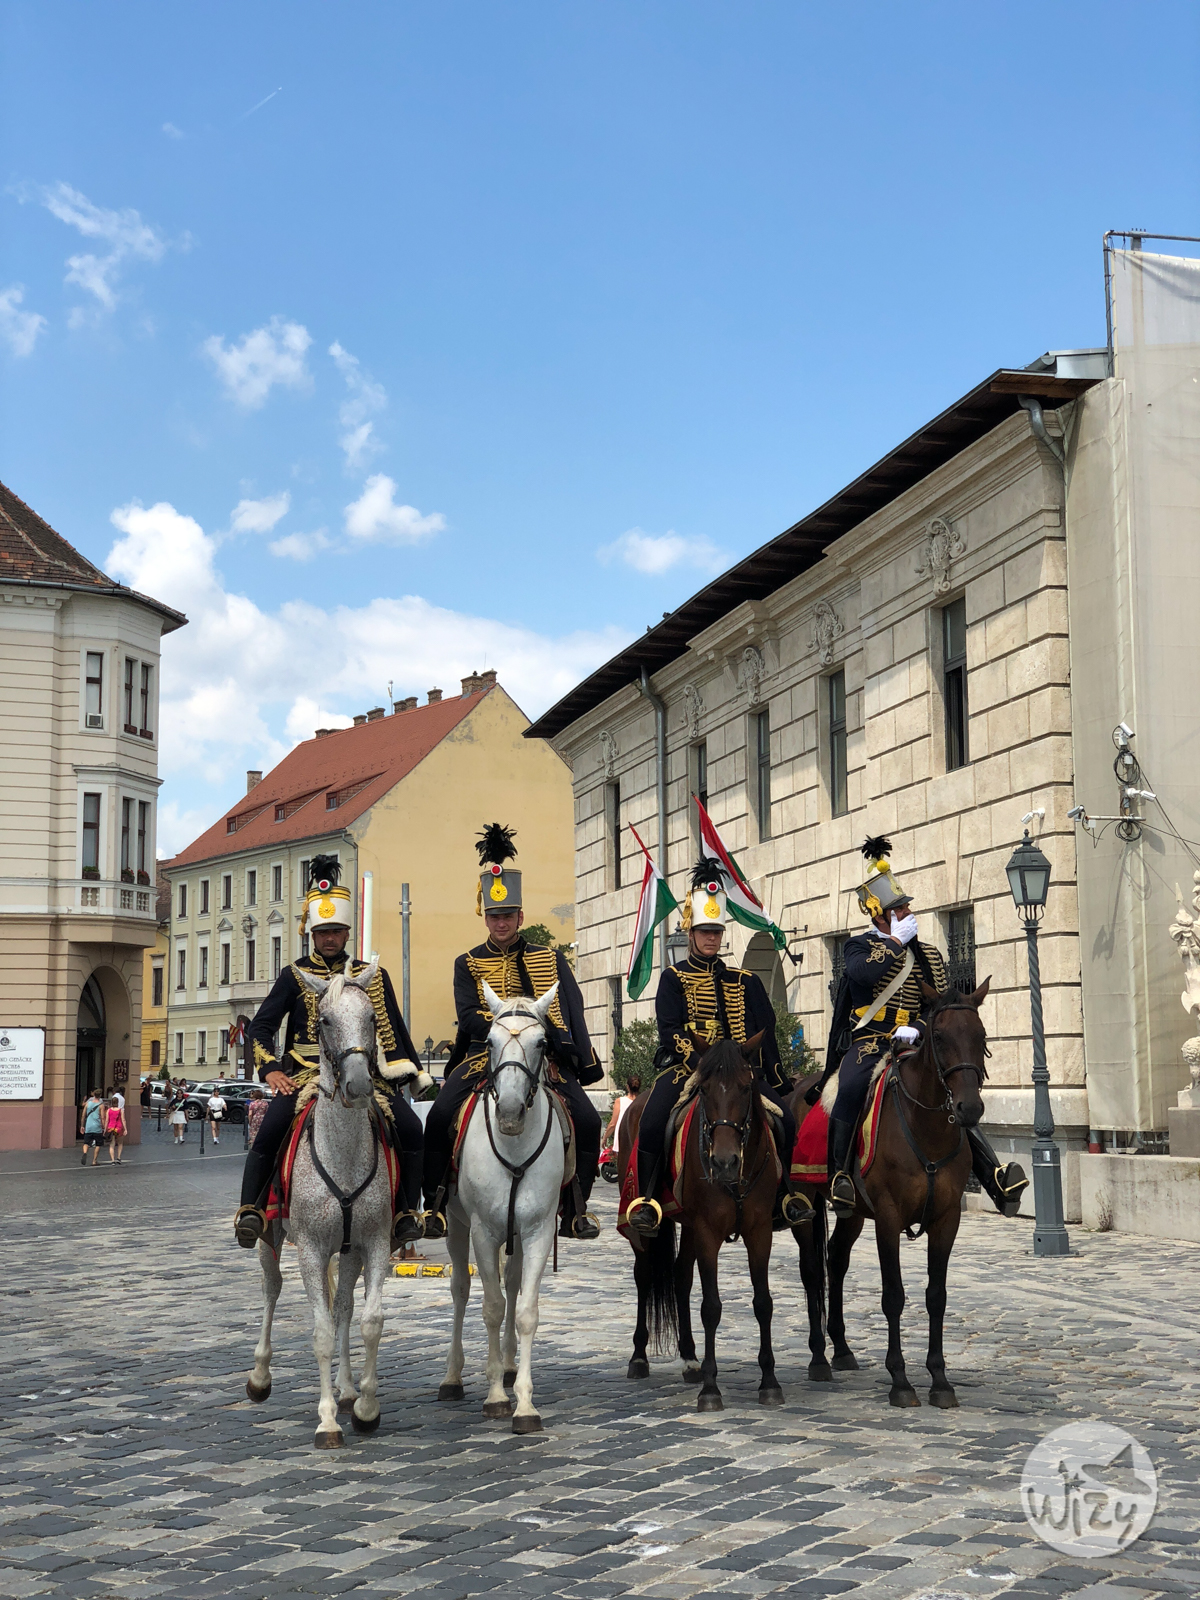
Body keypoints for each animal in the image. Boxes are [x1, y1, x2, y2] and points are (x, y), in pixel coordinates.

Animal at [245, 958, 394, 1448]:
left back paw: (346, 1389)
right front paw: (327, 1421)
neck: (342, 1154)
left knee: (343, 1303)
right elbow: (322, 1332)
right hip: (271, 1238)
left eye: (371, 1018)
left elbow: (367, 1320)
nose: (359, 1083)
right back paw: (260, 1376)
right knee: (272, 1289)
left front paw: (365, 1407)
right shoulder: (309, 1248)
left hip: (347, 1251)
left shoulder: (375, 1243)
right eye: (324, 1020)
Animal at [438, 981, 565, 1434]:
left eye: (542, 1042)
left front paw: (524, 1404)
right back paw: (453, 1377)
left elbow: (525, 1309)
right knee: (460, 1290)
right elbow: (491, 1307)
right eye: (489, 1042)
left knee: (512, 1284)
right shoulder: (483, 1230)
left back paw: (509, 1367)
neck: (514, 1146)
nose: (509, 1112)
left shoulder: (538, 1230)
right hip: (456, 1226)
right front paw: (495, 1397)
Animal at [619, 1033, 784, 1412]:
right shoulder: (709, 1231)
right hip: (644, 1225)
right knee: (644, 1275)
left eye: (745, 1087)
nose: (724, 1162)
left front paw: (769, 1381)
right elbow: (711, 1306)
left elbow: (763, 1303)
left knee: (680, 1276)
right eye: (704, 1090)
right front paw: (711, 1389)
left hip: (691, 1226)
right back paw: (639, 1357)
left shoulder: (759, 1232)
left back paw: (690, 1358)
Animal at [789, 978, 991, 1409]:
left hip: (852, 1212)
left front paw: (939, 1380)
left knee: (837, 1260)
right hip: (805, 1202)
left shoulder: (947, 1219)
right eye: (939, 1036)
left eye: (981, 1036)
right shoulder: (888, 1216)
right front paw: (900, 1380)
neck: (926, 1128)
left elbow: (936, 1296)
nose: (969, 1108)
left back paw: (842, 1349)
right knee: (812, 1269)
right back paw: (819, 1358)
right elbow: (893, 1295)